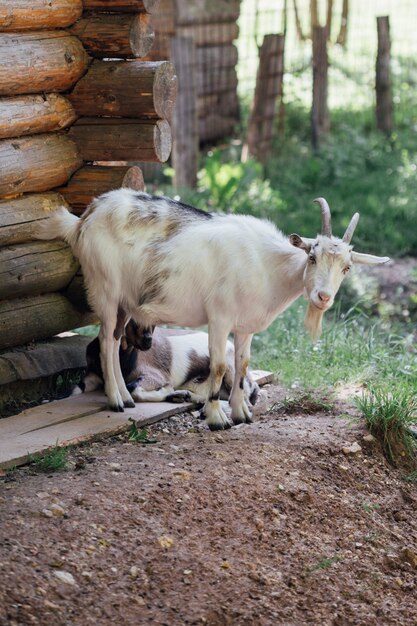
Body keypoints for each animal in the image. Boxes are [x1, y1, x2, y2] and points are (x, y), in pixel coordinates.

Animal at [37, 190, 388, 428]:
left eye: (346, 268)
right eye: (312, 256)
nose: (323, 297)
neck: (266, 265)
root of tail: (84, 218)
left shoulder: (245, 325)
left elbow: (242, 365)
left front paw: (242, 413)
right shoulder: (219, 317)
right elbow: (219, 366)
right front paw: (217, 417)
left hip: (126, 302)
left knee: (114, 342)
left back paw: (125, 396)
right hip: (105, 290)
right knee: (106, 341)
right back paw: (115, 402)